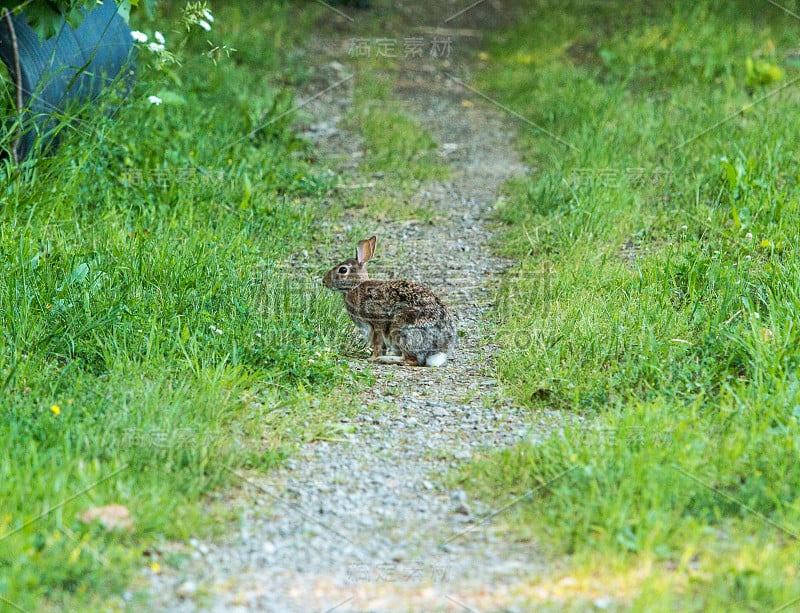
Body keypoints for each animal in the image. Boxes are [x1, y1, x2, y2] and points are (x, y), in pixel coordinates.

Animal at [320, 235, 456, 366]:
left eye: (343, 270)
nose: (324, 281)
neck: (355, 286)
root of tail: (439, 349)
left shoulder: (375, 325)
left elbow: (378, 344)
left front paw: (372, 358)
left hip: (401, 329)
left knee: (412, 360)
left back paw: (386, 359)